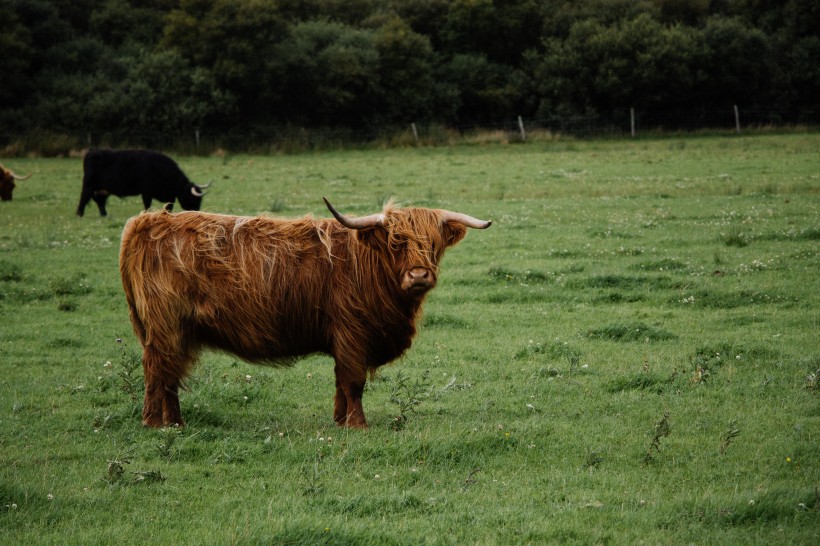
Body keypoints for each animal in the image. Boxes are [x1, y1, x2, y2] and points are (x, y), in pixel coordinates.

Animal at [78, 149, 210, 219]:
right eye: (192, 198)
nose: (197, 212)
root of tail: (92, 152)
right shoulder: (147, 192)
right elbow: (147, 205)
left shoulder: (169, 195)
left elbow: (169, 206)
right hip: (88, 184)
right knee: (84, 197)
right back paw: (79, 214)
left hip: (102, 189)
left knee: (99, 200)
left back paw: (104, 215)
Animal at [120, 198, 494, 428]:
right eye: (396, 242)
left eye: (433, 244)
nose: (418, 275)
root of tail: (147, 221)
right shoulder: (352, 333)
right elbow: (354, 382)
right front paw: (358, 425)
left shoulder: (344, 340)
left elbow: (340, 382)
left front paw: (339, 421)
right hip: (166, 327)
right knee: (157, 372)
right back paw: (153, 423)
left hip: (179, 332)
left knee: (171, 375)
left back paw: (176, 423)